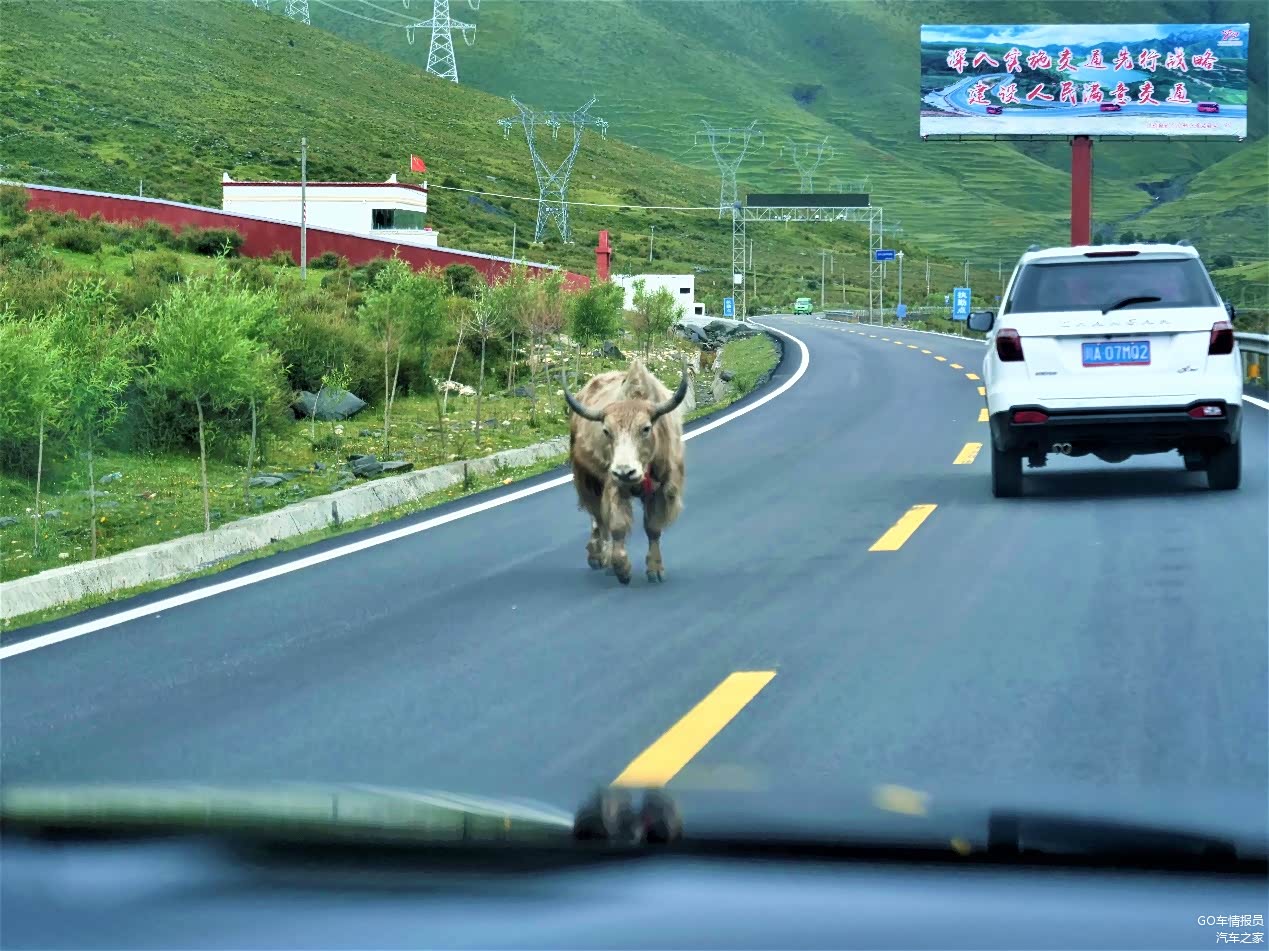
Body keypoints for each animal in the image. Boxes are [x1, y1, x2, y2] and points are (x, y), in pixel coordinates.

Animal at [562, 359, 689, 585]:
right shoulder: (614, 486)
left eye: (646, 428)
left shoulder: (661, 490)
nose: (625, 472)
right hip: (588, 480)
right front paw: (622, 569)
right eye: (606, 431)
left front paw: (655, 570)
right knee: (598, 517)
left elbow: (653, 527)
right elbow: (618, 526)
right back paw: (598, 556)